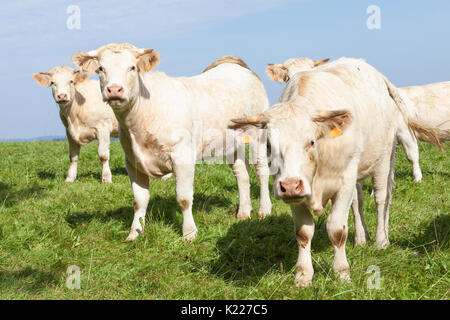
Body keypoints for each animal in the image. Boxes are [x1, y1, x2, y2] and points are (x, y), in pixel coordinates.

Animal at [72, 43, 272, 242]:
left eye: (132, 67)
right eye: (100, 68)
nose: (114, 90)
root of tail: (237, 66)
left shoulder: (182, 157)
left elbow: (183, 198)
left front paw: (189, 233)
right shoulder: (132, 161)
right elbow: (139, 200)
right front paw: (134, 233)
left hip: (258, 134)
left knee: (261, 170)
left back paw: (264, 210)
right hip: (229, 142)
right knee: (242, 171)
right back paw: (244, 211)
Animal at [229, 57, 440, 288]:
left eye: (311, 142)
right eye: (268, 145)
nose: (291, 185)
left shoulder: (344, 181)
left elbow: (337, 230)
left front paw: (342, 273)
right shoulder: (295, 193)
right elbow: (303, 232)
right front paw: (303, 275)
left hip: (384, 159)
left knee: (382, 199)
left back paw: (381, 240)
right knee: (358, 203)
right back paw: (361, 239)